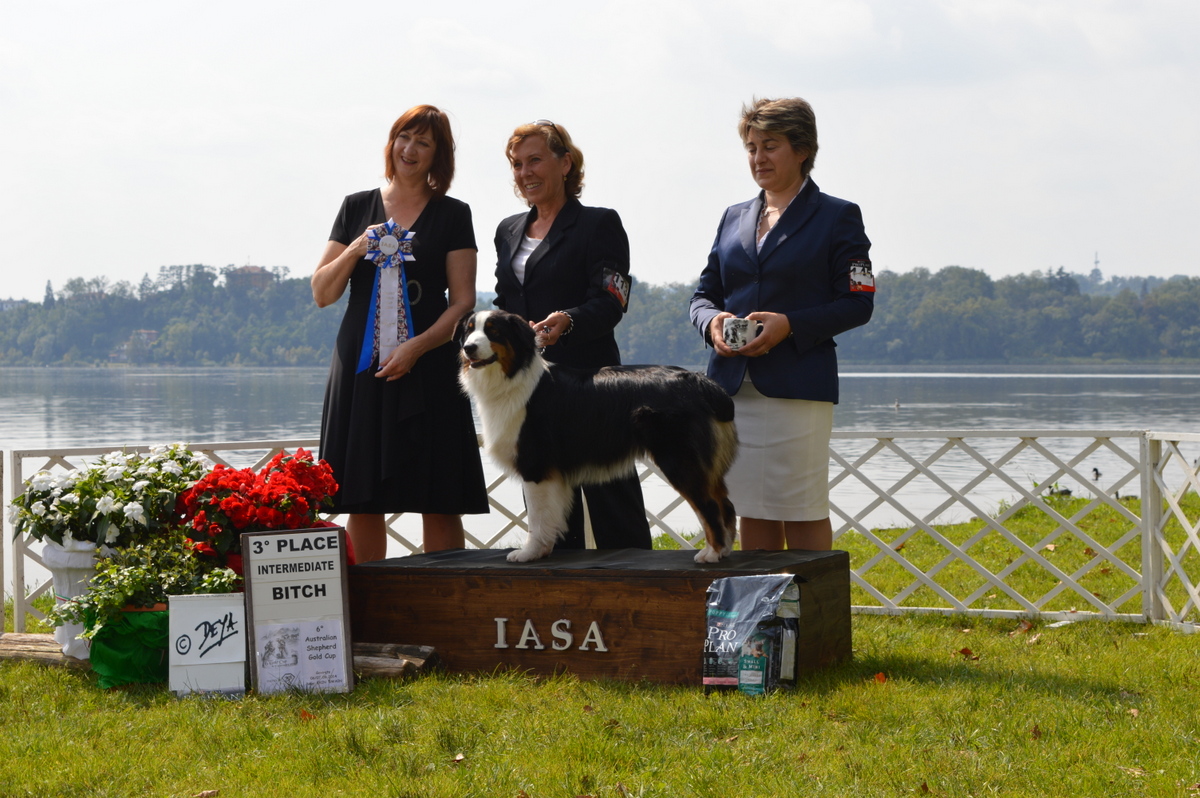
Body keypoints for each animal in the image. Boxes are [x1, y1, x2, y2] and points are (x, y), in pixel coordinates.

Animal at [456, 307, 739, 564]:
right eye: (469, 331)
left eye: (493, 331)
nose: (468, 348)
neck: (513, 376)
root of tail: (700, 382)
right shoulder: (552, 475)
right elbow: (550, 515)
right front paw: (542, 550)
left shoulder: (535, 465)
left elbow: (536, 516)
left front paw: (528, 553)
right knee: (725, 503)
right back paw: (724, 550)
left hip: (679, 459)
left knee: (709, 505)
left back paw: (711, 554)